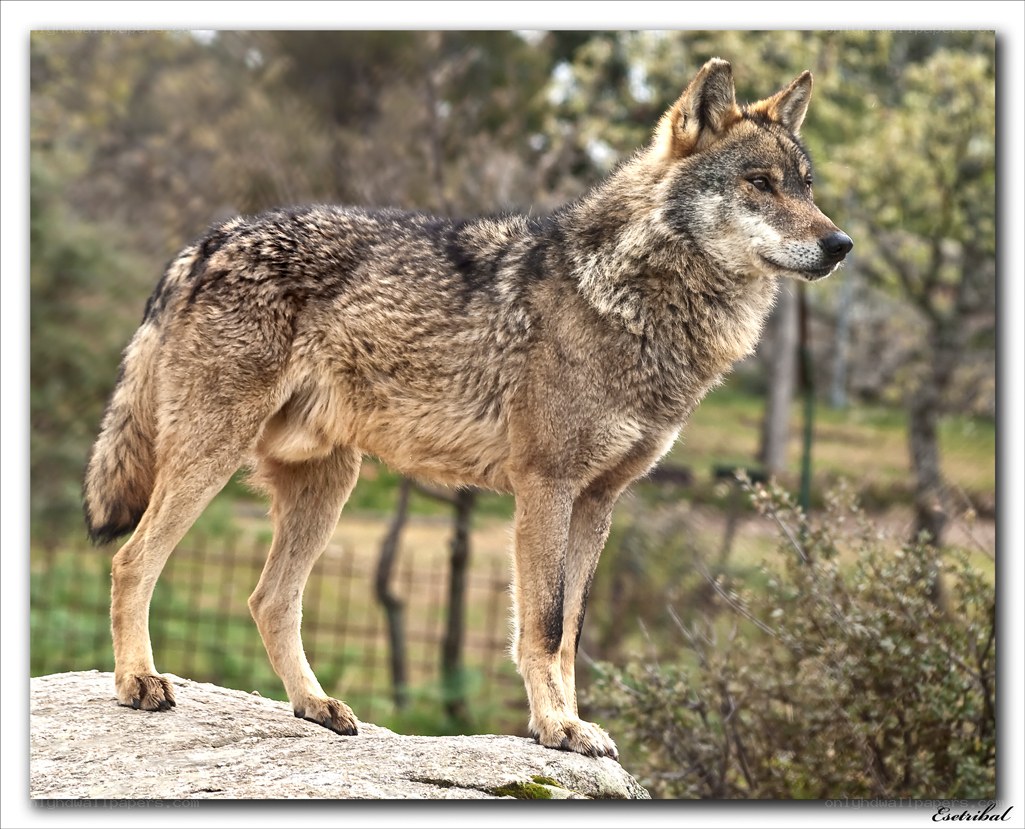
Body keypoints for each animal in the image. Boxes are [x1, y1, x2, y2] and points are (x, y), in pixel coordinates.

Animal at [83, 59, 851, 760]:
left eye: (807, 186)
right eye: (759, 183)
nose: (840, 244)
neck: (631, 298)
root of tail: (206, 241)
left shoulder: (599, 500)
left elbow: (570, 633)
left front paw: (568, 724)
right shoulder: (545, 487)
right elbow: (544, 625)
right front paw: (558, 727)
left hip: (328, 485)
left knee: (268, 599)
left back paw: (315, 705)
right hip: (212, 459)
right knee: (130, 563)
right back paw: (139, 680)